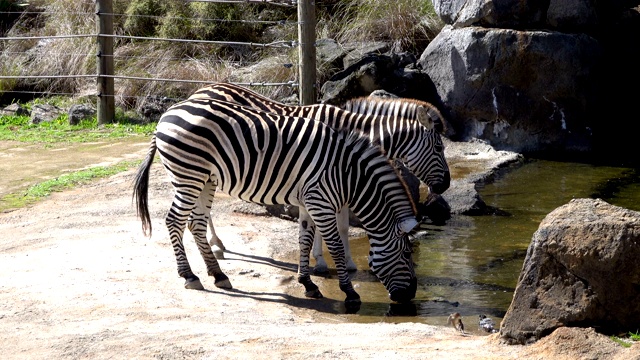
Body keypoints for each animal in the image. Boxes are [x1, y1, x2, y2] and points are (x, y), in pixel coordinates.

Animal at [132, 97, 420, 306]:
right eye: (407, 253)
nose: (410, 297)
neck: (347, 173)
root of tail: (168, 112)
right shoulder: (320, 202)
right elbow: (336, 246)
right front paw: (349, 292)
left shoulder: (308, 201)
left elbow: (304, 240)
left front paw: (308, 284)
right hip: (188, 175)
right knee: (174, 221)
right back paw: (189, 275)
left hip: (205, 179)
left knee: (196, 224)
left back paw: (218, 275)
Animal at [189, 82, 450, 272]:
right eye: (439, 147)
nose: (446, 185)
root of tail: (200, 90)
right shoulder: (323, 179)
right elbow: (320, 224)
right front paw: (322, 261)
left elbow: (341, 226)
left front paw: (347, 263)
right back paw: (216, 244)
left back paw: (215, 243)